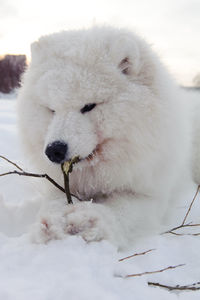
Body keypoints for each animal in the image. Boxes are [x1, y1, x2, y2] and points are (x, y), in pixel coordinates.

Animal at [17, 27, 198, 250]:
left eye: (89, 106)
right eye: (51, 109)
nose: (54, 150)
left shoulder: (150, 194)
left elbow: (122, 209)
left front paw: (89, 223)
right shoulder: (58, 186)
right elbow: (52, 204)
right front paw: (54, 225)